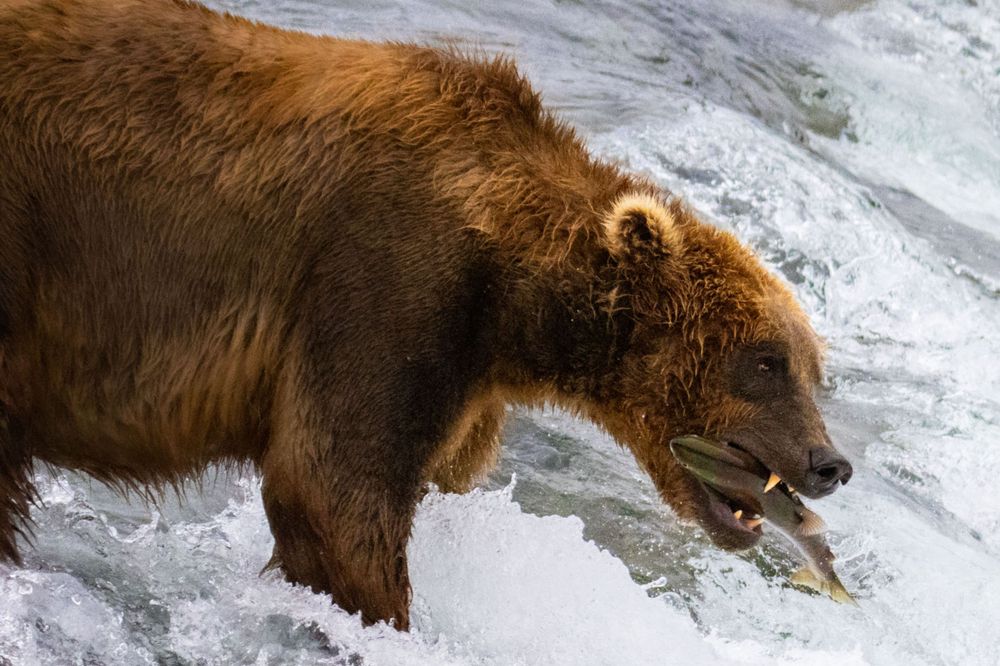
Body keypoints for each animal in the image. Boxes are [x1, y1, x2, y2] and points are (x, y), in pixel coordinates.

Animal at [0, 0, 852, 629]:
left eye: (814, 370)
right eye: (766, 360)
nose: (829, 463)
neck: (512, 294)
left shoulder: (465, 381)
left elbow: (433, 475)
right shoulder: (387, 282)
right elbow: (333, 492)